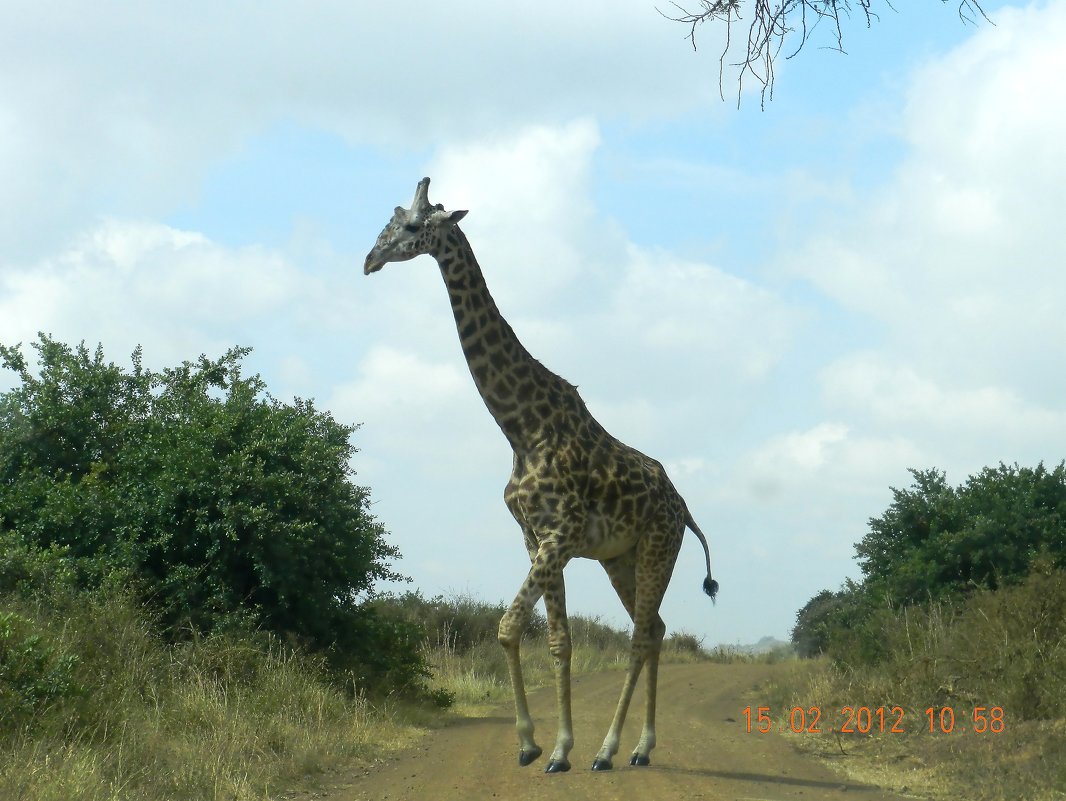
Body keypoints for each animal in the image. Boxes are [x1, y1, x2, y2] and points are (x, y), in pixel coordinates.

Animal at [362, 178, 720, 772]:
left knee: (641, 634)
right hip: (620, 559)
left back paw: (615, 750)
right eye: (386, 221)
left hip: (657, 548)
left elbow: (509, 627)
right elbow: (553, 640)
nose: (369, 260)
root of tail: (684, 508)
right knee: (655, 629)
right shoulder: (536, 538)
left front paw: (550, 747)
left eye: (412, 226)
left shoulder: (560, 535)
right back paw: (636, 748)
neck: (520, 428)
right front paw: (547, 747)